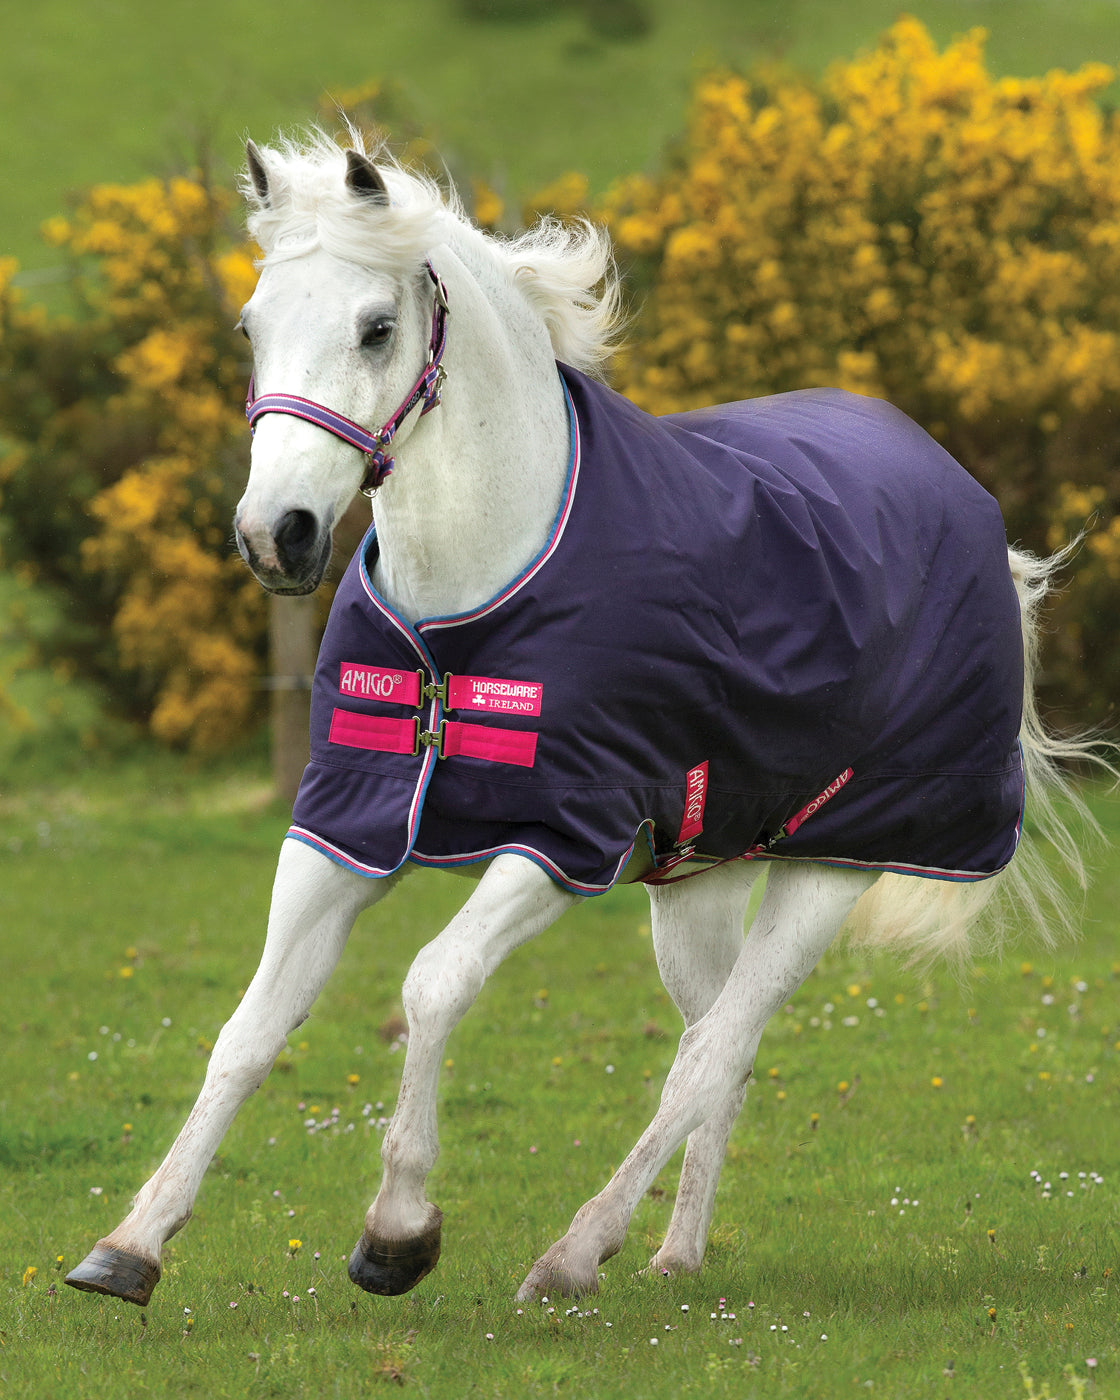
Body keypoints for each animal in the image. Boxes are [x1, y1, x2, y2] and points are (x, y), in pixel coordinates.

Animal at [65, 131, 1100, 1309]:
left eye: (375, 328)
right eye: (251, 326)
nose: (272, 535)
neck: (467, 613)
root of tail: (970, 507)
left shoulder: (561, 838)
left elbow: (432, 985)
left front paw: (397, 1233)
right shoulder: (344, 823)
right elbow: (250, 1026)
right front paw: (131, 1244)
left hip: (835, 867)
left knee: (715, 1047)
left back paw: (573, 1251)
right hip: (699, 881)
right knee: (714, 1048)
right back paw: (671, 1252)